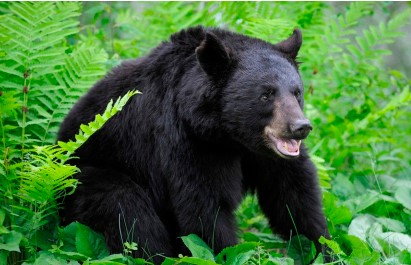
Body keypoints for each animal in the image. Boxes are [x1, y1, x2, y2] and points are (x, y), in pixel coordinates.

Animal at [58, 25, 330, 260]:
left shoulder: (264, 154)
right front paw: (226, 254)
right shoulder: (189, 141)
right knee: (126, 209)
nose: (300, 127)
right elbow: (204, 209)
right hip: (85, 177)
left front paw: (324, 249)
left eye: (296, 92)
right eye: (266, 94)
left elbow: (294, 196)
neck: (230, 135)